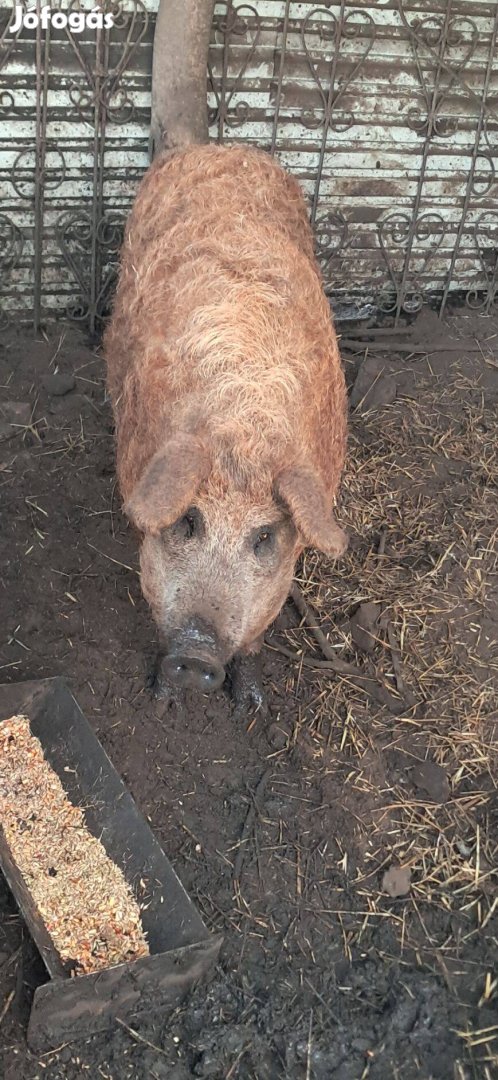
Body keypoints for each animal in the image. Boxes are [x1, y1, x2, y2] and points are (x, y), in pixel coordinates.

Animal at [104, 145, 345, 717]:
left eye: (264, 536)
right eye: (188, 520)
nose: (197, 654)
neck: (244, 427)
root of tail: (217, 147)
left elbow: (257, 634)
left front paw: (250, 708)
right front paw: (162, 699)